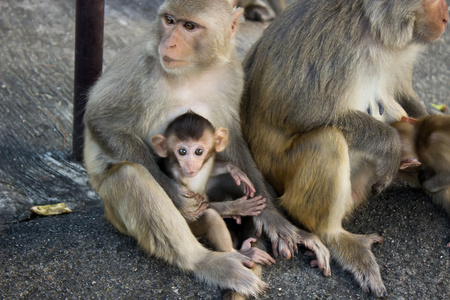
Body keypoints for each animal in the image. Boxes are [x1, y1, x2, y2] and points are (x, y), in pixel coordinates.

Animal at [84, 0, 328, 296]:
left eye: (189, 26)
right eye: (169, 20)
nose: (168, 43)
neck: (194, 71)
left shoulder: (232, 73)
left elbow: (231, 137)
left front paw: (274, 219)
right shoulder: (140, 68)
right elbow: (101, 120)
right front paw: (176, 195)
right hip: (117, 213)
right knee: (129, 175)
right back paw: (211, 262)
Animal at [243, 0, 450, 296]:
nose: (446, 18)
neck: (374, 29)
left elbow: (403, 94)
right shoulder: (330, 43)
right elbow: (295, 111)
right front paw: (390, 143)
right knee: (329, 140)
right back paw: (336, 237)